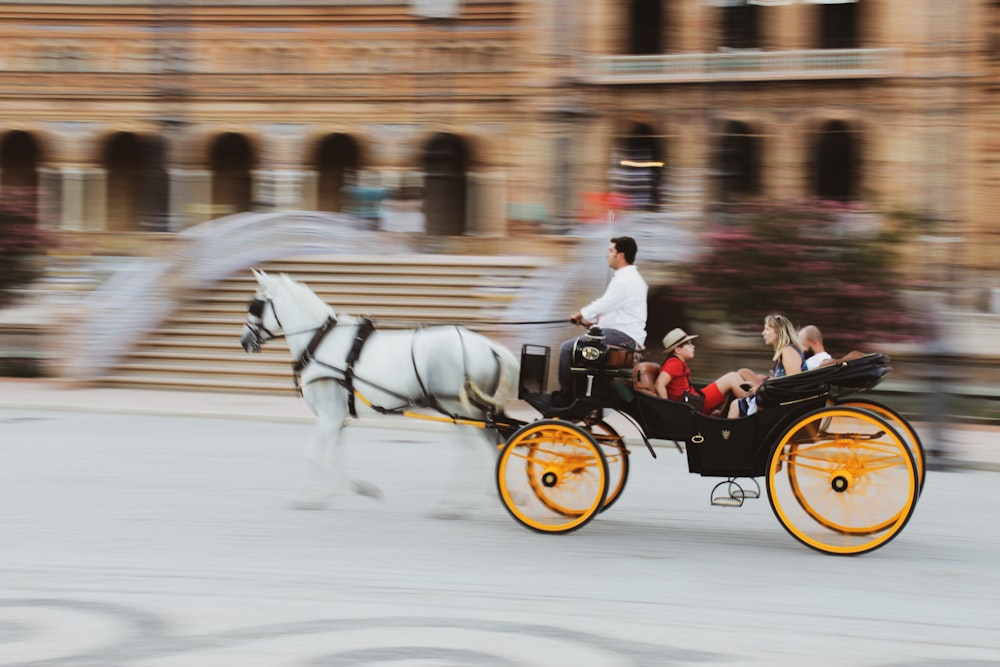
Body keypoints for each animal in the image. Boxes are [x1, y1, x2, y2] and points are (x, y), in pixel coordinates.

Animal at [241, 272, 520, 516]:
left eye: (255, 305)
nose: (244, 342)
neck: (320, 341)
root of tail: (488, 345)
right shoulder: (336, 418)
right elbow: (331, 458)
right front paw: (324, 496)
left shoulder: (329, 416)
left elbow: (315, 457)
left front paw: (354, 490)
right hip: (474, 413)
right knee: (493, 446)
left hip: (458, 411)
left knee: (473, 451)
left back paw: (455, 506)